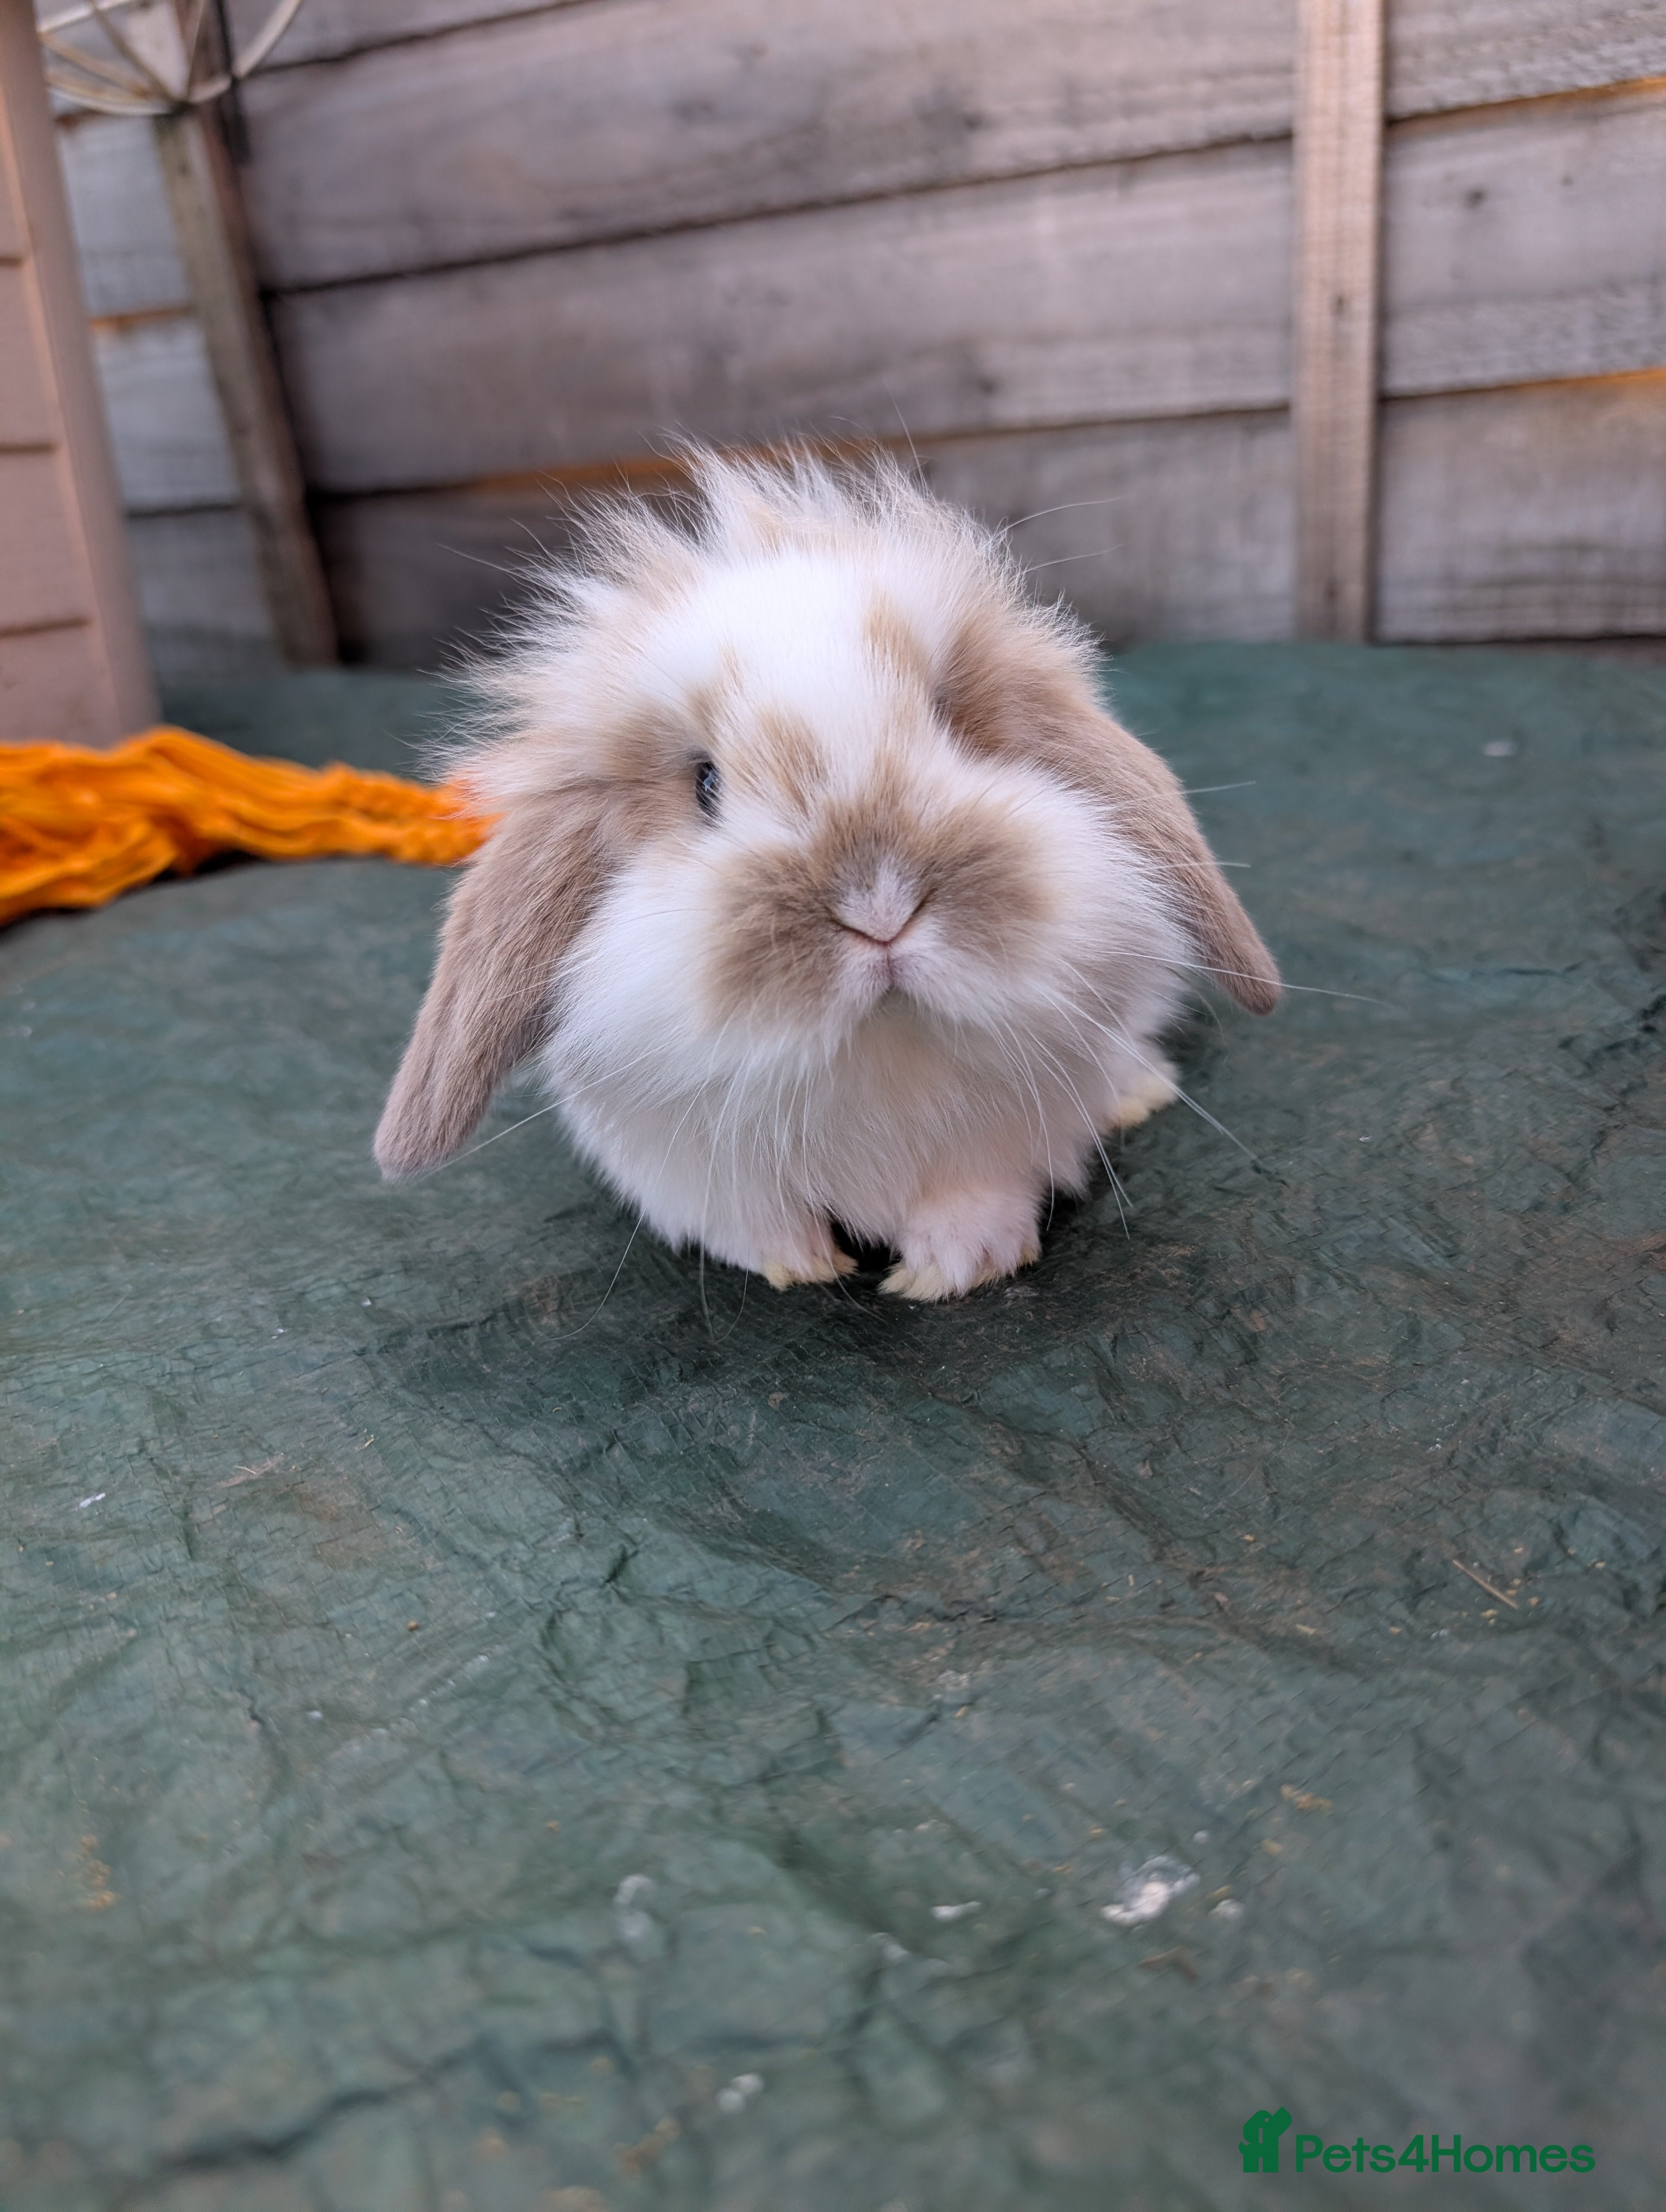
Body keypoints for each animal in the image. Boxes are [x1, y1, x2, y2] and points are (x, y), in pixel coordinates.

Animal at [374, 447, 1279, 1299]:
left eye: (952, 724)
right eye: (706, 784)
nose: (880, 908)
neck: (882, 1057)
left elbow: (977, 1195)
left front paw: (950, 1270)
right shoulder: (678, 1158)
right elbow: (743, 1219)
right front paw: (799, 1263)